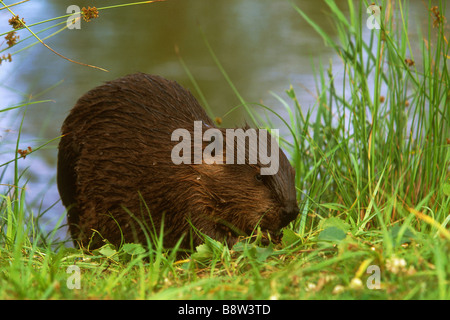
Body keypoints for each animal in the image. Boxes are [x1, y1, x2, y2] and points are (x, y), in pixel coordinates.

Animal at [57, 72, 298, 250]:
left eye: (293, 173)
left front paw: (274, 235)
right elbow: (202, 233)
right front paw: (258, 238)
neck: (190, 158)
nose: (291, 212)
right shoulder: (183, 192)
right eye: (258, 177)